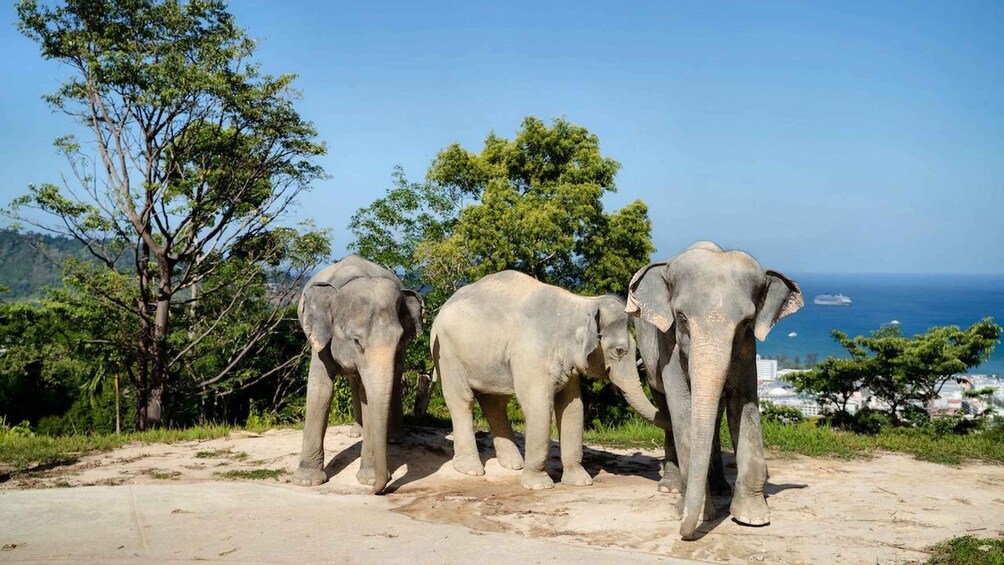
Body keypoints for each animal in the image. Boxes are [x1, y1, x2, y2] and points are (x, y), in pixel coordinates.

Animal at [292, 255, 423, 494]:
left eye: (399, 340)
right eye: (356, 341)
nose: (379, 489)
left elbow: (368, 397)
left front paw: (368, 480)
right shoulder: (321, 340)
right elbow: (320, 390)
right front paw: (306, 481)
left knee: (393, 380)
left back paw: (395, 439)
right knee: (354, 381)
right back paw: (357, 433)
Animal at [431, 270, 670, 490]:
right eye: (619, 351)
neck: (580, 303)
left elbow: (573, 408)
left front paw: (581, 482)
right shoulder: (531, 355)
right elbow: (540, 408)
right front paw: (539, 485)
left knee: (495, 403)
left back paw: (514, 465)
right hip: (448, 355)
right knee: (462, 401)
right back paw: (471, 470)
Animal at [626, 241, 802, 540]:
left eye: (746, 322)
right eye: (681, 317)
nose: (683, 533)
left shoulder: (747, 347)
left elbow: (744, 405)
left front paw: (752, 518)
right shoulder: (667, 344)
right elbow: (682, 407)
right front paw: (696, 513)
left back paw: (720, 487)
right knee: (666, 407)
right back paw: (670, 487)